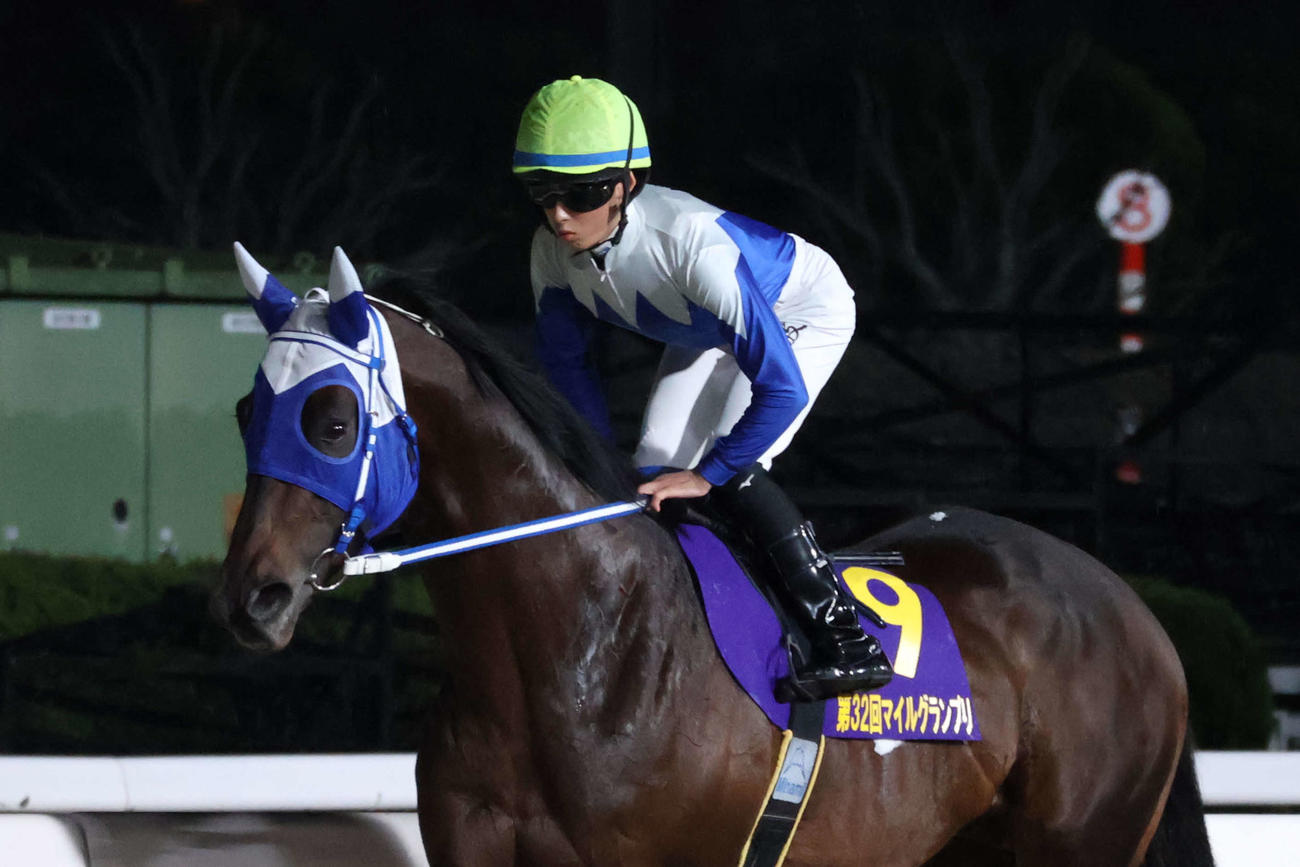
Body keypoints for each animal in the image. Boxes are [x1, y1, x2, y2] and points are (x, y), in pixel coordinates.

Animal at [213, 251, 1214, 866]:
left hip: (1084, 839)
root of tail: (1132, 605)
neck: (570, 647)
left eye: (333, 420)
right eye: (245, 411)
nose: (251, 598)